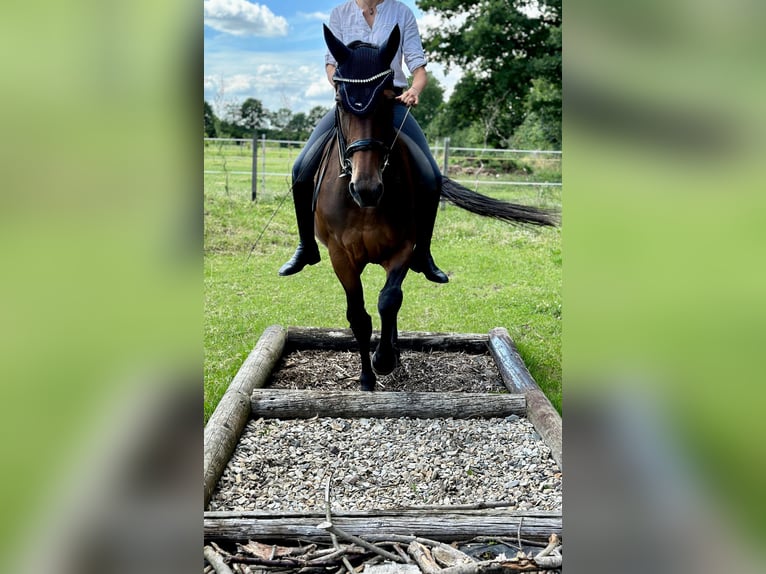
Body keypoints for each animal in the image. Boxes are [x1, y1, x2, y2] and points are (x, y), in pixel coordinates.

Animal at [314, 23, 560, 392]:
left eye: (390, 99)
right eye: (341, 103)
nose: (367, 188)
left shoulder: (403, 248)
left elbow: (389, 300)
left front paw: (384, 359)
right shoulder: (340, 256)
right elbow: (358, 315)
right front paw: (367, 378)